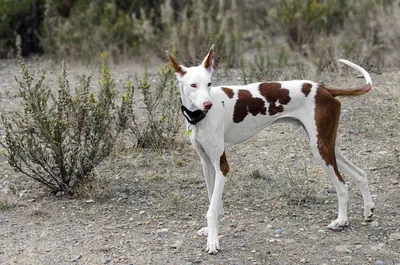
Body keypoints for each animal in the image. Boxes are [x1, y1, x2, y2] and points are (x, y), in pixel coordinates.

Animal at [166, 46, 376, 254]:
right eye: (193, 85)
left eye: (209, 84)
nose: (208, 104)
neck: (199, 117)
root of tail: (324, 89)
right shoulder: (207, 164)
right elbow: (213, 200)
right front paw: (210, 230)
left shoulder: (221, 166)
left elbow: (211, 209)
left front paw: (213, 241)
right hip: (326, 145)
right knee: (360, 173)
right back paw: (368, 210)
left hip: (320, 150)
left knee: (342, 185)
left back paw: (341, 221)